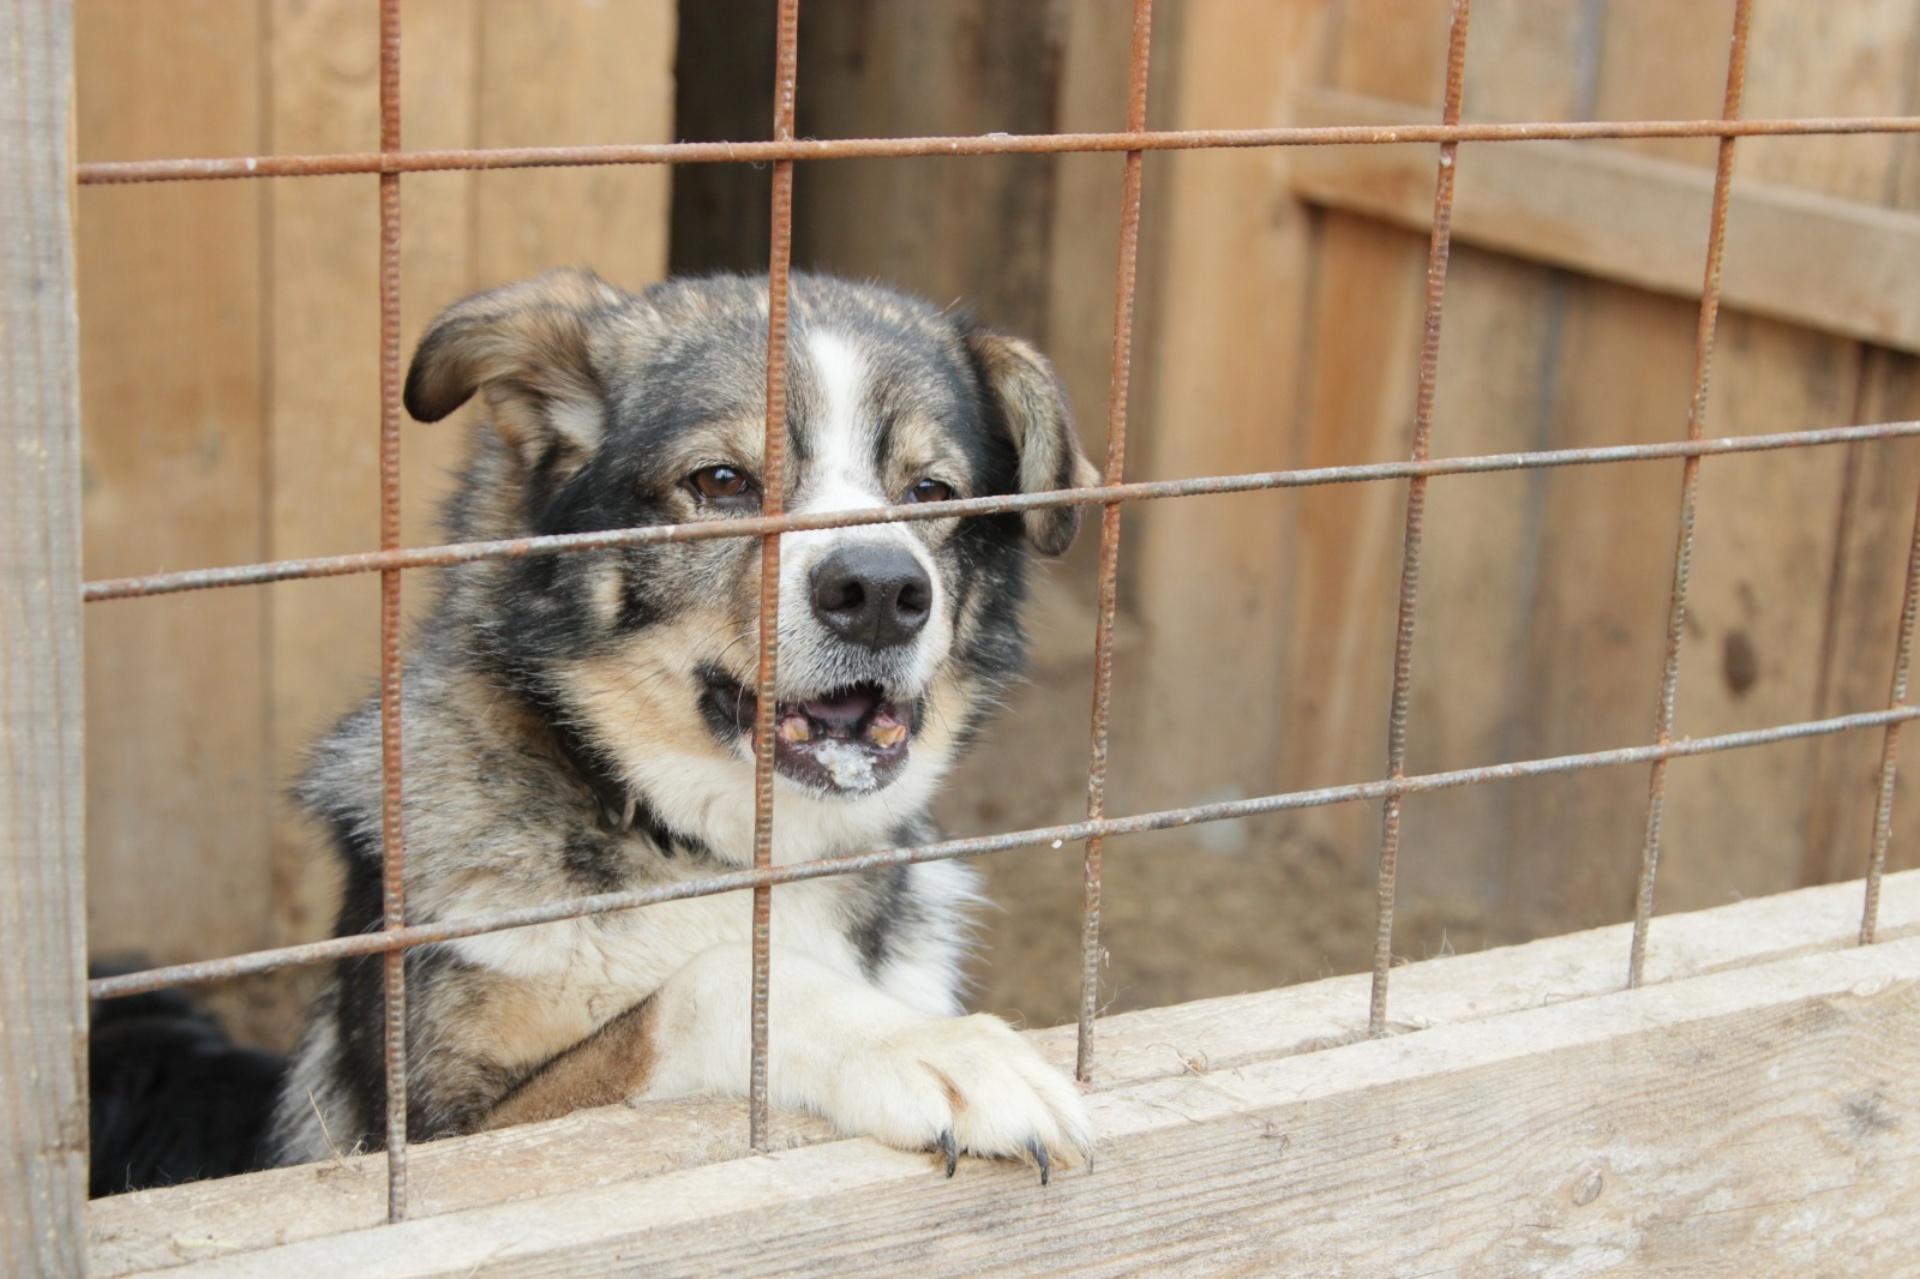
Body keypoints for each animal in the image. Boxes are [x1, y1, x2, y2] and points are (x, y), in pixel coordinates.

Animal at [272, 266, 1105, 1175]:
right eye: (721, 481)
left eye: (932, 491)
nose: (882, 590)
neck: (716, 848)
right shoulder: (435, 1135)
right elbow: (714, 983)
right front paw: (940, 1049)